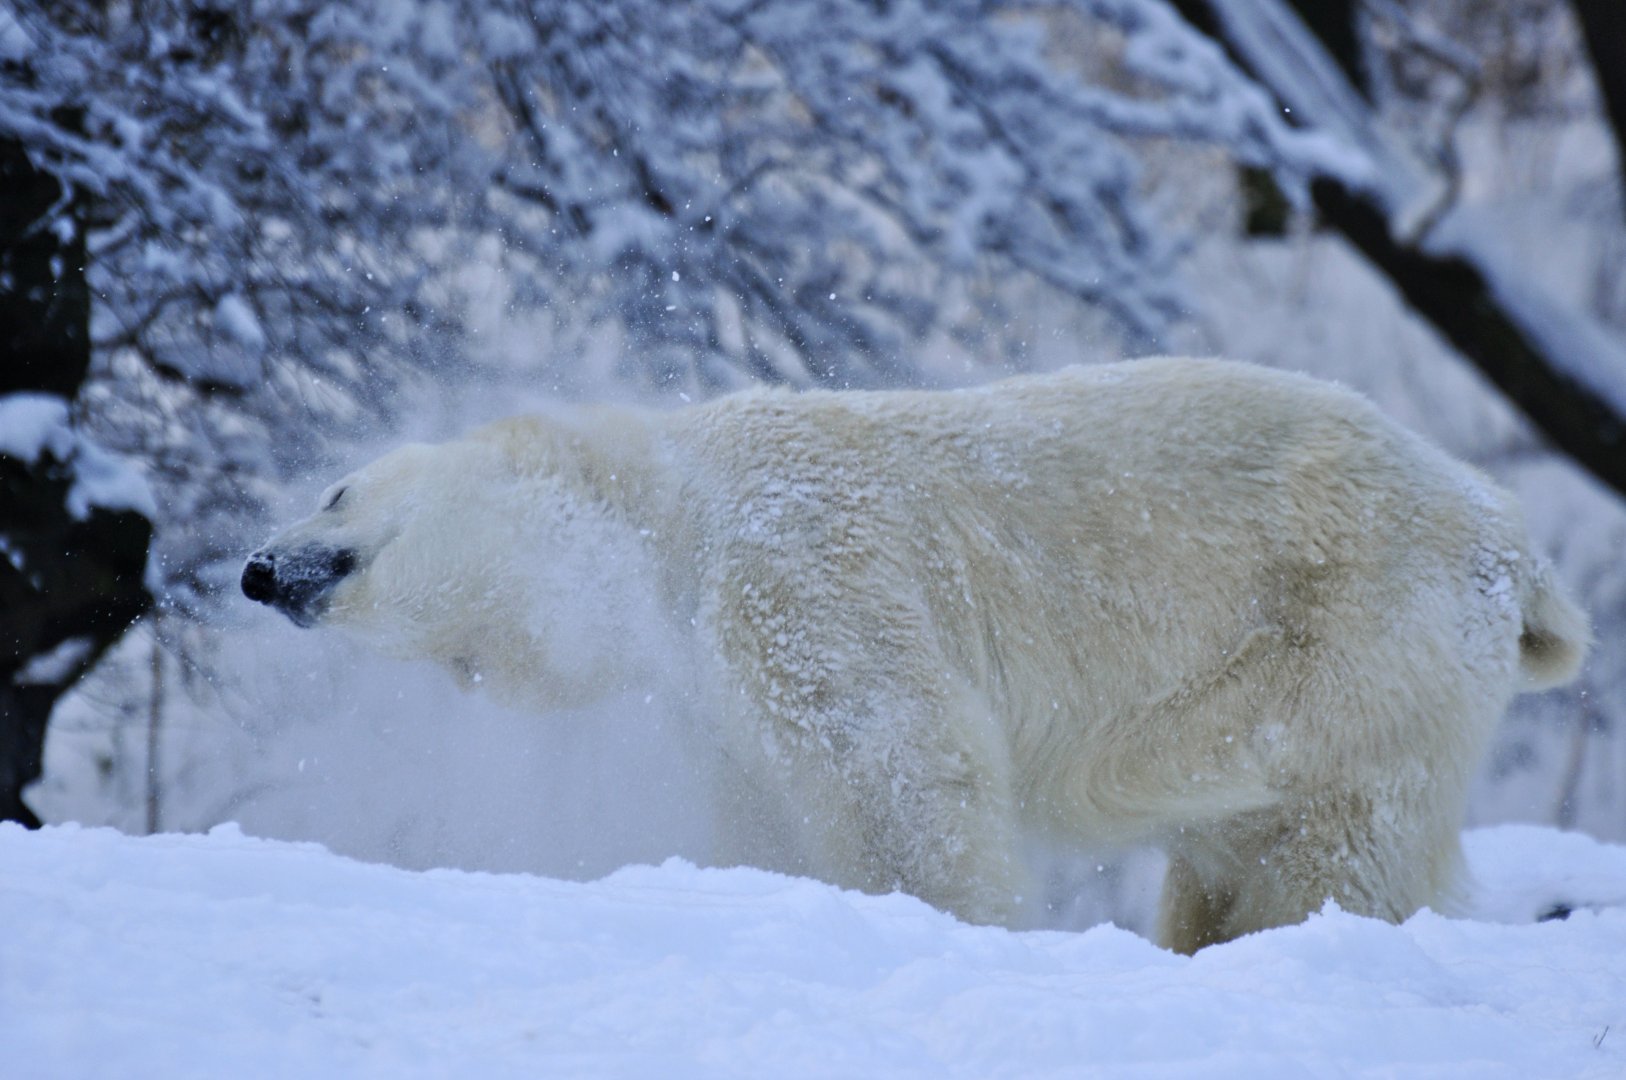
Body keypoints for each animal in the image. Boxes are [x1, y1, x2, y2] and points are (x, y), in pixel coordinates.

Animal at [242, 358, 1589, 952]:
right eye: (455, 666)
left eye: (338, 486)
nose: (264, 573)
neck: (677, 502)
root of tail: (1515, 548)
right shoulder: (713, 696)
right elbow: (771, 808)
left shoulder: (800, 563)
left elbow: (894, 764)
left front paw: (950, 924)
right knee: (1232, 842)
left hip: (1355, 631)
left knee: (1326, 835)